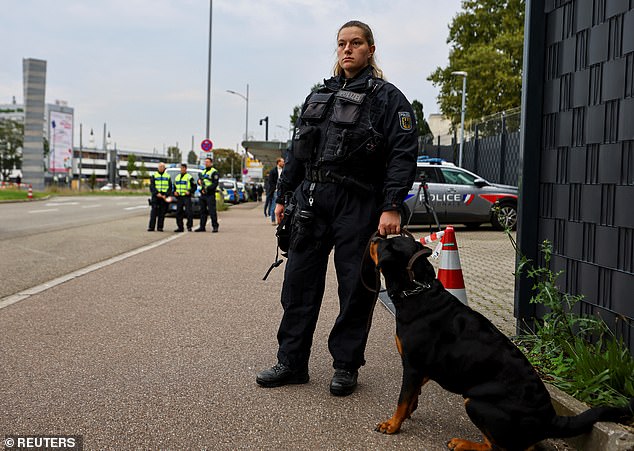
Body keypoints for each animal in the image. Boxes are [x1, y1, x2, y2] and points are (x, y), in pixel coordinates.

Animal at [368, 235, 628, 450]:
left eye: (386, 245)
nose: (374, 236)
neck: (418, 291)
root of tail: (550, 418)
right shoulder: (422, 367)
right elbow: (412, 395)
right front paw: (409, 411)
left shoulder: (412, 365)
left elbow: (402, 399)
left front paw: (392, 425)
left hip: (476, 403)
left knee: (498, 447)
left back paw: (463, 444)